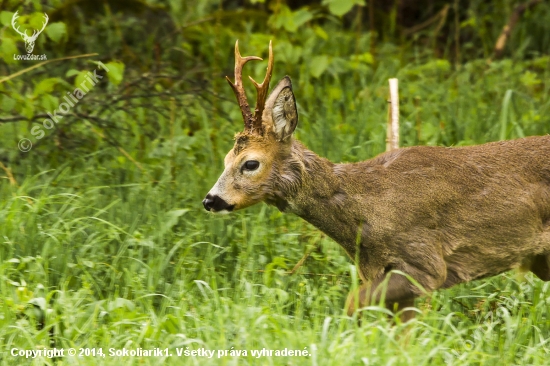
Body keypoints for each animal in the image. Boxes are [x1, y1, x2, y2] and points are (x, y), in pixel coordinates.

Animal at [205, 40, 550, 320]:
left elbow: (352, 303)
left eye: (250, 163)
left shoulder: (426, 262)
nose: (210, 200)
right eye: (224, 160)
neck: (364, 210)